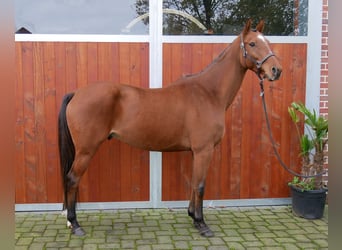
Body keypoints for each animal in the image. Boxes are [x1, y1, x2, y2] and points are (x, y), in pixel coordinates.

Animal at [58, 19, 280, 236]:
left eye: (267, 41)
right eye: (252, 43)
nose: (276, 70)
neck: (209, 93)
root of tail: (77, 93)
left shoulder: (196, 152)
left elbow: (193, 183)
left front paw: (193, 216)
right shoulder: (204, 150)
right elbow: (200, 186)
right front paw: (202, 224)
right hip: (86, 150)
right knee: (72, 179)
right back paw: (75, 224)